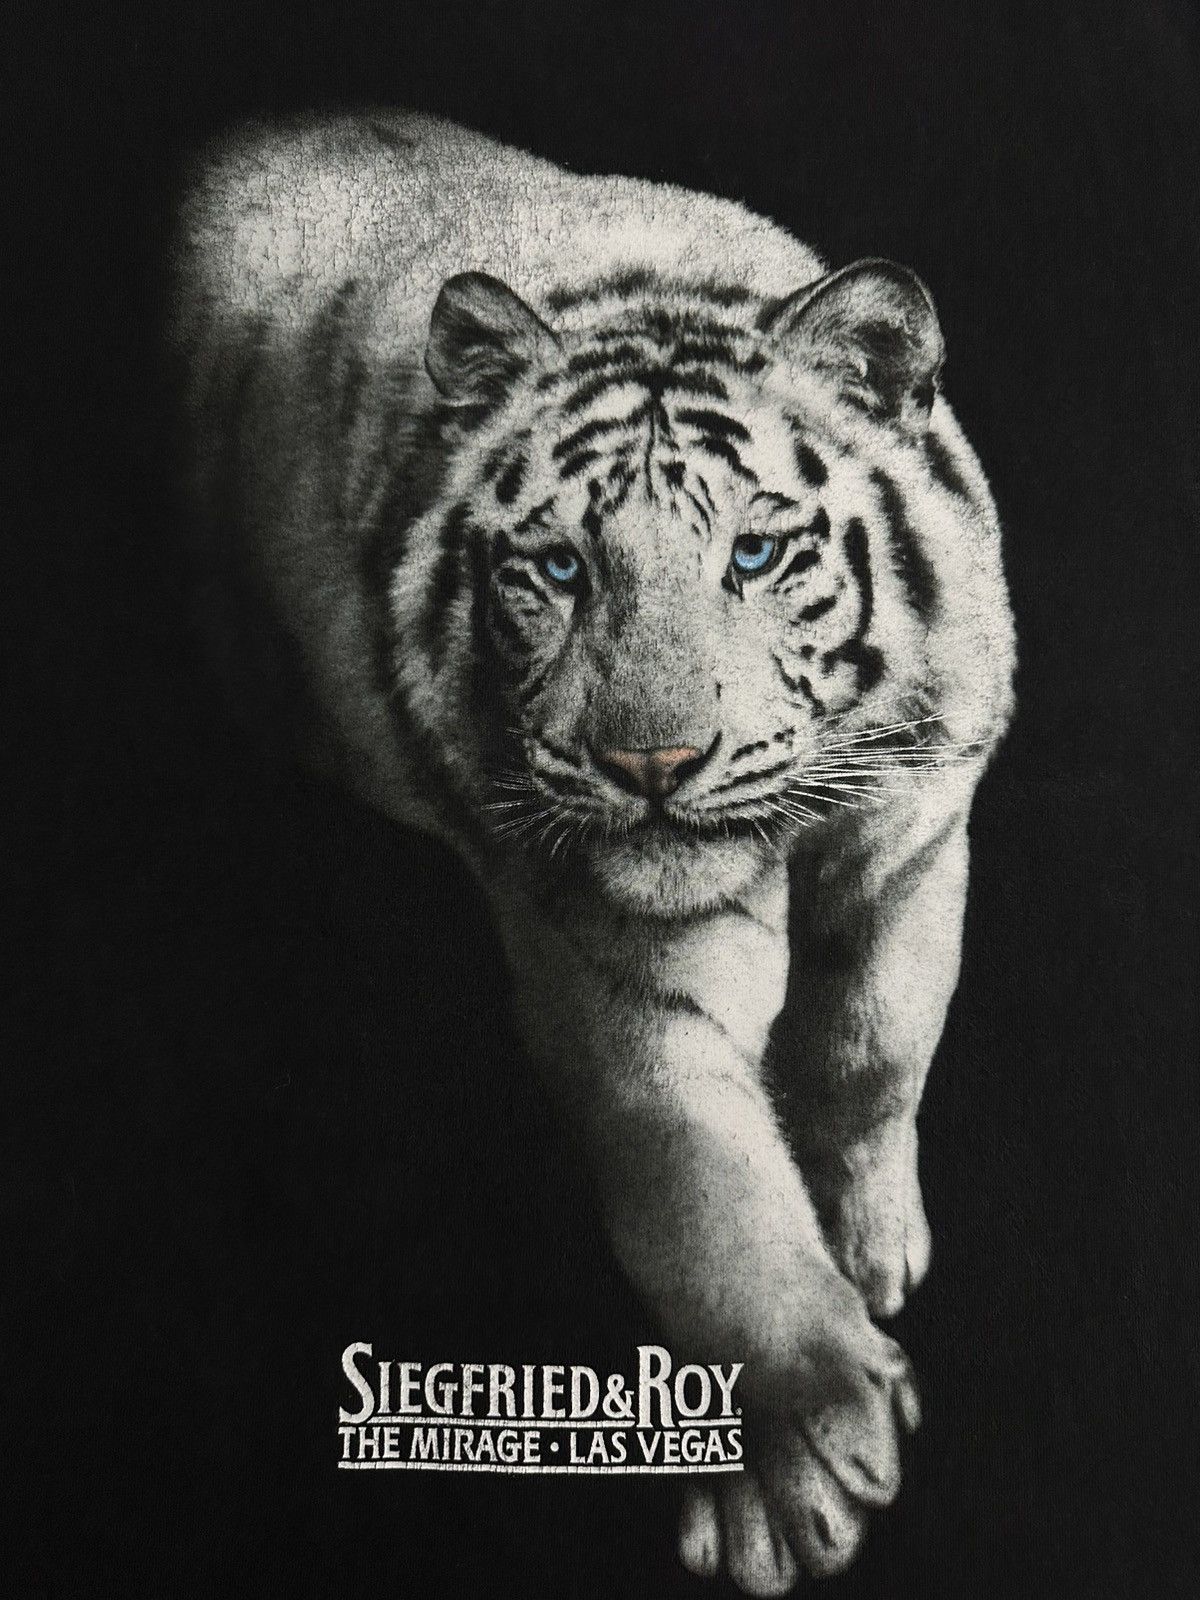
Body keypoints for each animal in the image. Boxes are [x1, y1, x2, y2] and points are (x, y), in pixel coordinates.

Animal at [171, 108, 1015, 1594]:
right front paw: (803, 1459)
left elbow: (873, 1046)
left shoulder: (914, 830)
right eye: (558, 569)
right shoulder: (620, 964)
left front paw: (874, 1252)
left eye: (758, 555)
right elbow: (704, 1194)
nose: (651, 765)